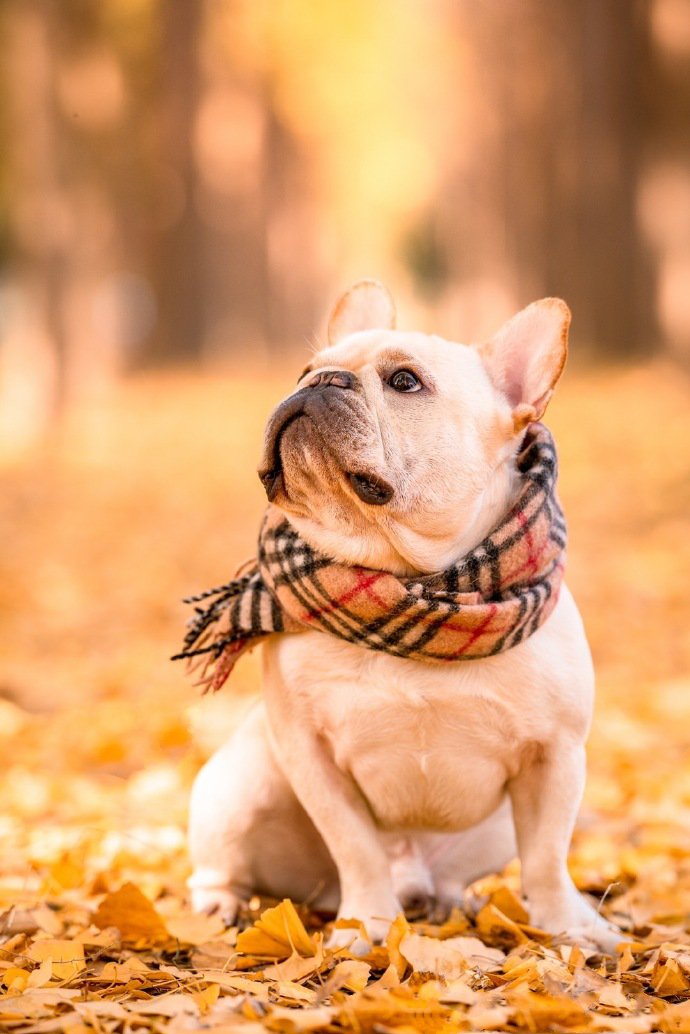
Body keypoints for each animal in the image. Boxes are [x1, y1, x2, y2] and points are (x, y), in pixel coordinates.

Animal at [185, 277, 620, 951]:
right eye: (304, 369)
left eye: (405, 381)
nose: (323, 380)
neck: (409, 578)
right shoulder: (310, 754)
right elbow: (356, 847)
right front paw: (365, 926)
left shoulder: (556, 756)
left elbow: (548, 856)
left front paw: (569, 926)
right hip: (240, 787)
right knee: (220, 864)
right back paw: (220, 905)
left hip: (493, 830)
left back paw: (456, 902)